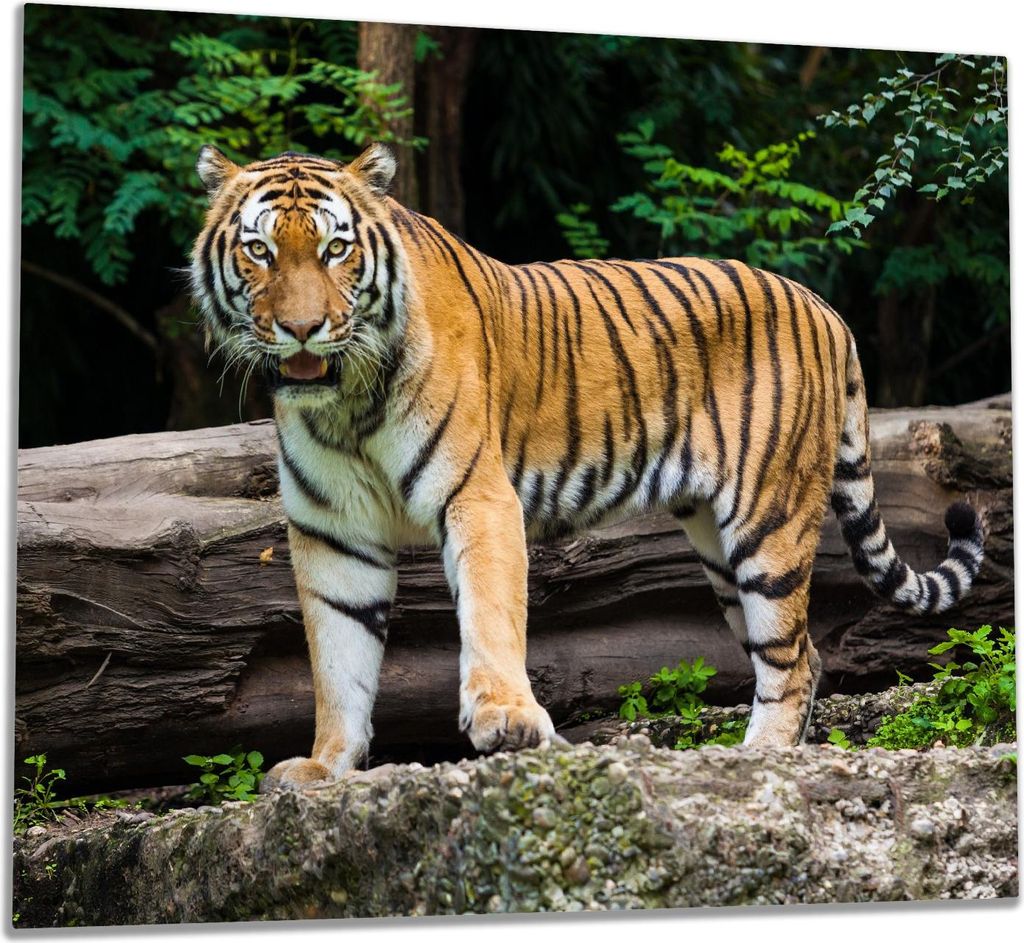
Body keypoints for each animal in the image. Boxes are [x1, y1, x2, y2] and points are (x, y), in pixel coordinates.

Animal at [190, 142, 985, 790]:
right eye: (260, 250)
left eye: (334, 250)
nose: (301, 328)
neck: (345, 402)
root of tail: (825, 308)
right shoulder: (333, 532)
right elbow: (338, 657)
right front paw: (326, 765)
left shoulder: (477, 496)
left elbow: (489, 613)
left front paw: (505, 720)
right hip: (720, 546)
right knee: (798, 654)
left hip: (770, 521)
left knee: (790, 662)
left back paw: (757, 759)